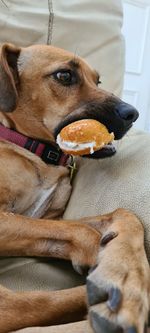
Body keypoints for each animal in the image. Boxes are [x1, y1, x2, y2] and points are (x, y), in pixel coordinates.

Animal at [0, 42, 149, 332]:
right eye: (65, 75)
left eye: (97, 80)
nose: (133, 114)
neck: (38, 153)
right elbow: (78, 230)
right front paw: (106, 261)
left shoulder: (49, 220)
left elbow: (124, 214)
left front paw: (125, 267)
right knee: (22, 305)